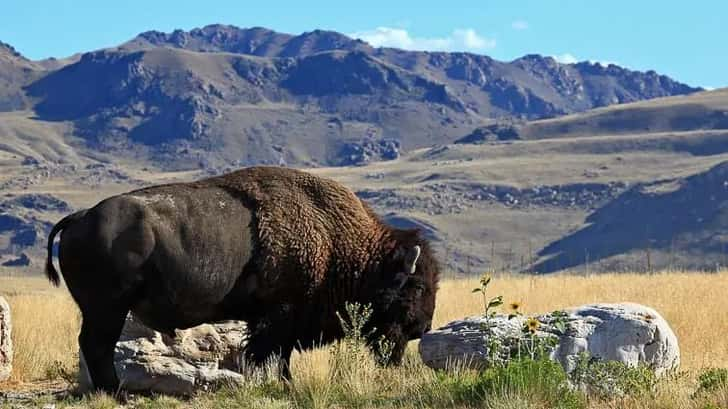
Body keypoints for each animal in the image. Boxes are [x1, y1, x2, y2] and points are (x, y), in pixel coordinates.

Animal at [49, 165, 444, 392]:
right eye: (417, 286)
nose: (422, 328)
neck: (337, 240)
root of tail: (80, 217)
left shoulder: (276, 321)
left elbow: (276, 356)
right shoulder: (279, 316)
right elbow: (271, 354)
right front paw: (282, 385)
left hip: (102, 311)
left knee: (93, 347)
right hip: (107, 309)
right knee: (96, 347)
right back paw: (116, 394)